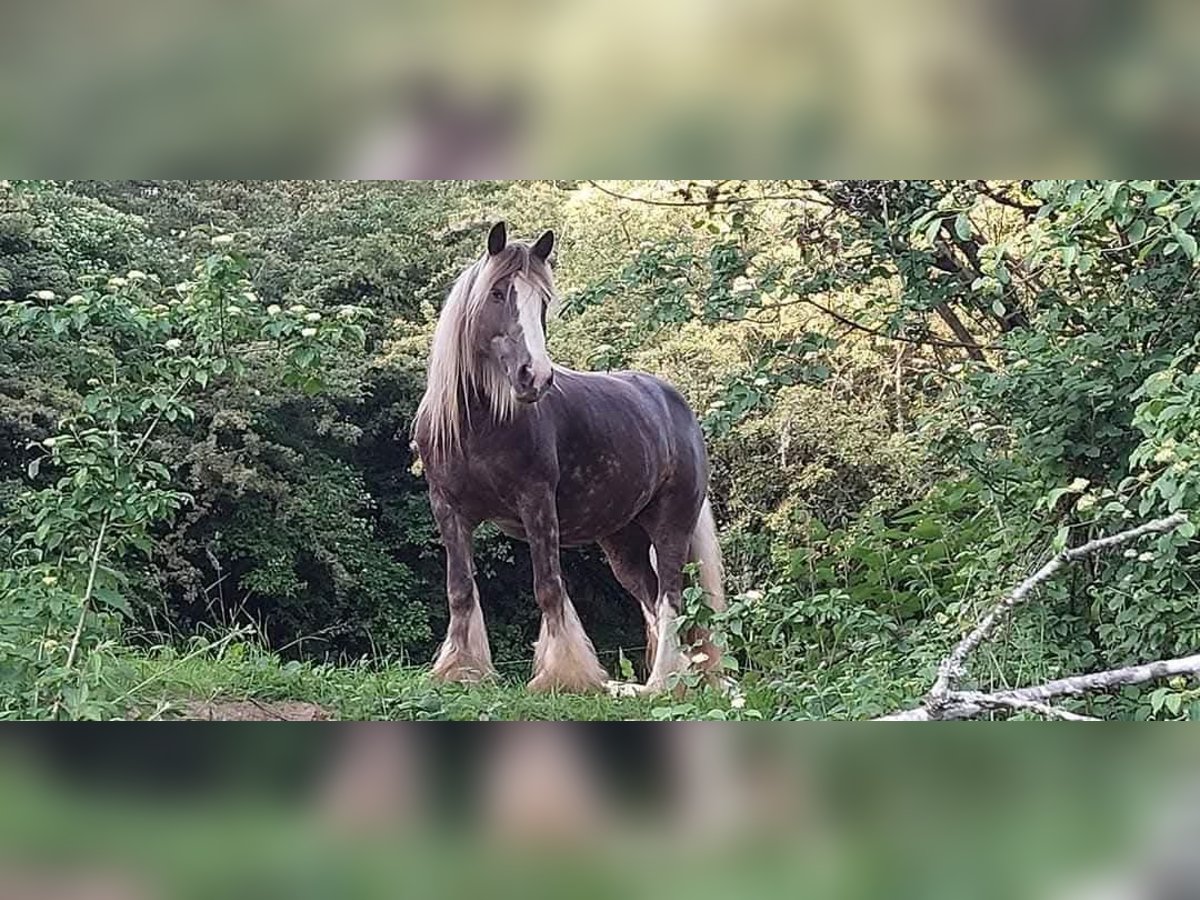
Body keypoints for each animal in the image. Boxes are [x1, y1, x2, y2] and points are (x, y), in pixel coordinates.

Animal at [412, 222, 720, 696]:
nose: (535, 377)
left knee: (670, 598)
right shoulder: (447, 507)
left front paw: (566, 674)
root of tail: (677, 406)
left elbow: (549, 587)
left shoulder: (536, 502)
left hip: (672, 525)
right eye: (497, 293)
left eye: (542, 301)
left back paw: (664, 683)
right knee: (652, 599)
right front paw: (463, 670)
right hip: (624, 544)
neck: (479, 423)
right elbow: (460, 588)